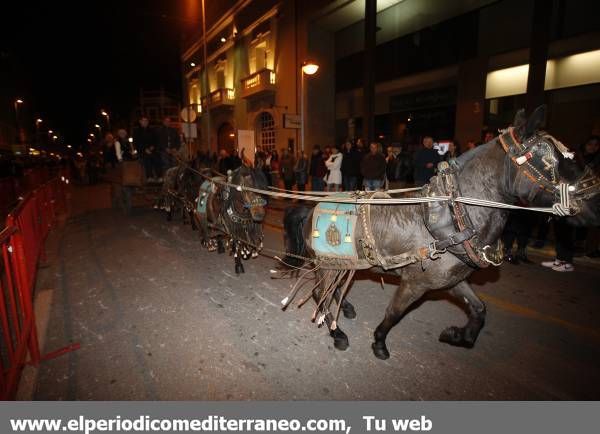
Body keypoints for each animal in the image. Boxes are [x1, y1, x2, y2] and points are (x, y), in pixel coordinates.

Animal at [284, 107, 596, 360]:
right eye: (550, 160)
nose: (594, 203)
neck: (453, 218)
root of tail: (310, 209)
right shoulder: (416, 283)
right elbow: (394, 313)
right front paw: (379, 343)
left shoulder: (452, 279)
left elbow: (479, 309)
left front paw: (457, 335)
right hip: (327, 263)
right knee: (319, 291)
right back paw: (337, 333)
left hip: (342, 262)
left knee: (333, 287)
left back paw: (345, 307)